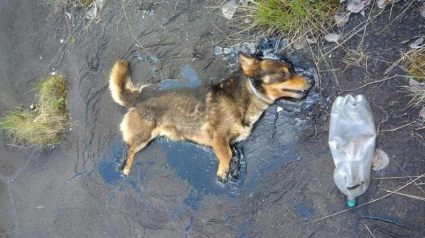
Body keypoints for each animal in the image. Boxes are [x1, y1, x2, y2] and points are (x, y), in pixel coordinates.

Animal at [107, 52, 310, 182]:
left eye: (292, 70)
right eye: (283, 74)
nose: (312, 81)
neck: (246, 96)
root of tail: (139, 96)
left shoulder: (232, 141)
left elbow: (232, 154)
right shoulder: (218, 137)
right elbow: (226, 155)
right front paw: (223, 172)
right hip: (142, 138)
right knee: (130, 151)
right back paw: (125, 169)